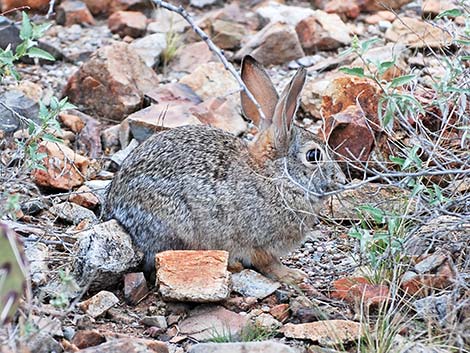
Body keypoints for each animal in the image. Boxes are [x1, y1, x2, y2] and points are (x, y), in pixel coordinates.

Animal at [104, 55, 344, 284]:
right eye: (313, 156)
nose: (341, 180)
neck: (274, 177)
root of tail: (115, 211)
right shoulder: (260, 243)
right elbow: (269, 264)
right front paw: (292, 276)